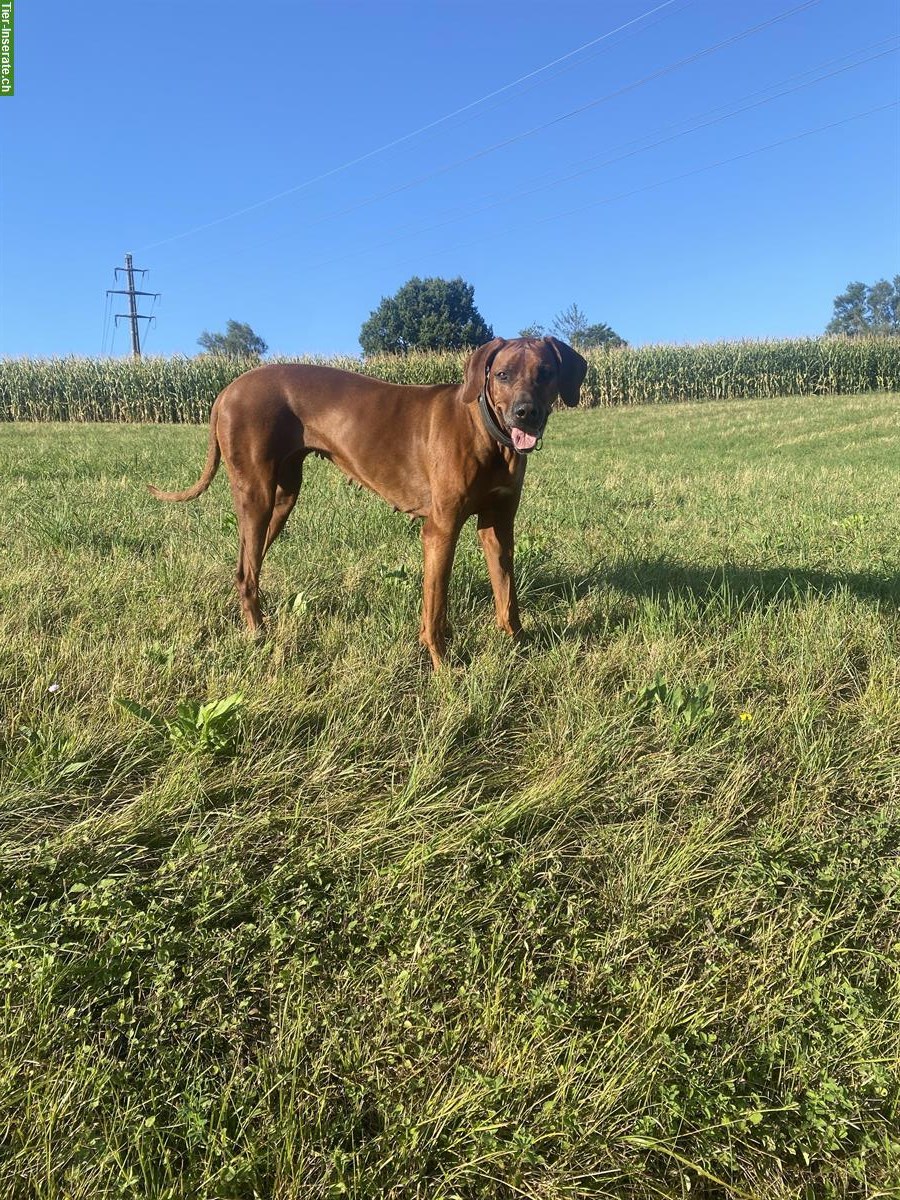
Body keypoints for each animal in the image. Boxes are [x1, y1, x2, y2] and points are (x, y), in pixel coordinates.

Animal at [150, 338, 588, 672]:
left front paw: (518, 646)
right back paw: (258, 634)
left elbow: (507, 593)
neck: (489, 435)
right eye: (502, 375)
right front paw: (442, 664)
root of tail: (227, 389)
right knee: (246, 570)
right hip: (256, 494)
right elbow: (436, 605)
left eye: (545, 373)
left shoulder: (498, 524)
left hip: (283, 497)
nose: (525, 413)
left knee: (248, 566)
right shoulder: (440, 529)